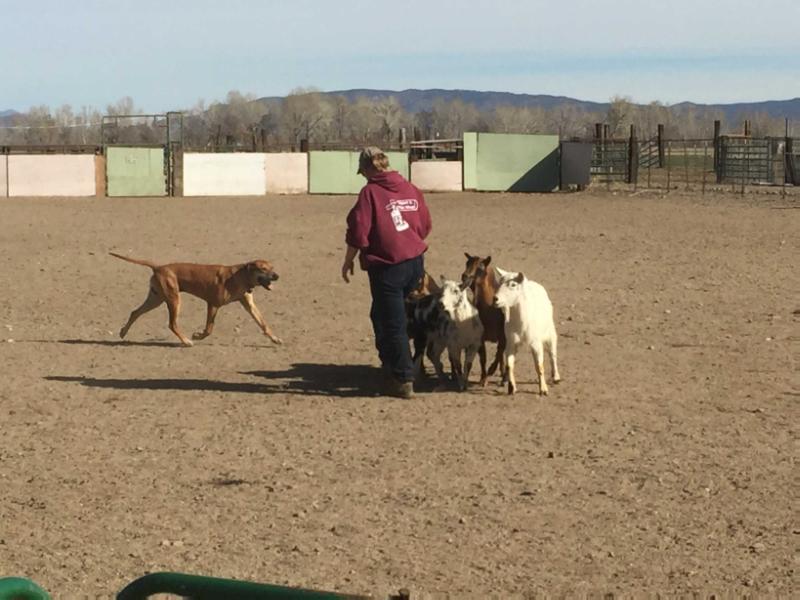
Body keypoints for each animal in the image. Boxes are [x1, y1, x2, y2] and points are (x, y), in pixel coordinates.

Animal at [110, 253, 282, 346]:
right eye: (263, 269)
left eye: (272, 267)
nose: (277, 276)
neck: (240, 276)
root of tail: (159, 267)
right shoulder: (213, 304)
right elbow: (209, 329)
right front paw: (197, 335)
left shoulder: (249, 304)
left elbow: (263, 324)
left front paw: (275, 339)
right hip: (174, 299)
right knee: (172, 324)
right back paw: (186, 341)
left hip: (156, 298)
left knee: (135, 312)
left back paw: (123, 332)